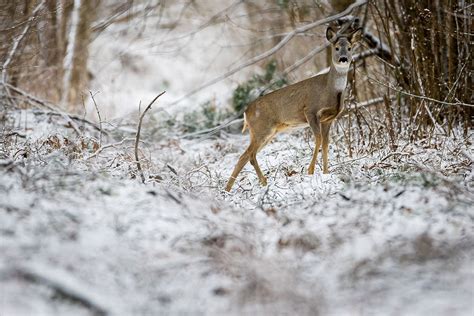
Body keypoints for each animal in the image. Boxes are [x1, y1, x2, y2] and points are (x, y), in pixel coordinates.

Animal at [224, 24, 362, 191]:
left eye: (349, 48)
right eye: (336, 48)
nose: (343, 59)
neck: (331, 90)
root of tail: (246, 112)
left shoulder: (329, 119)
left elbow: (325, 143)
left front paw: (326, 172)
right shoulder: (310, 111)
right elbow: (318, 139)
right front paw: (310, 171)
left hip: (266, 132)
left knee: (244, 155)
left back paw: (228, 189)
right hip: (262, 129)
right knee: (249, 154)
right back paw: (262, 182)